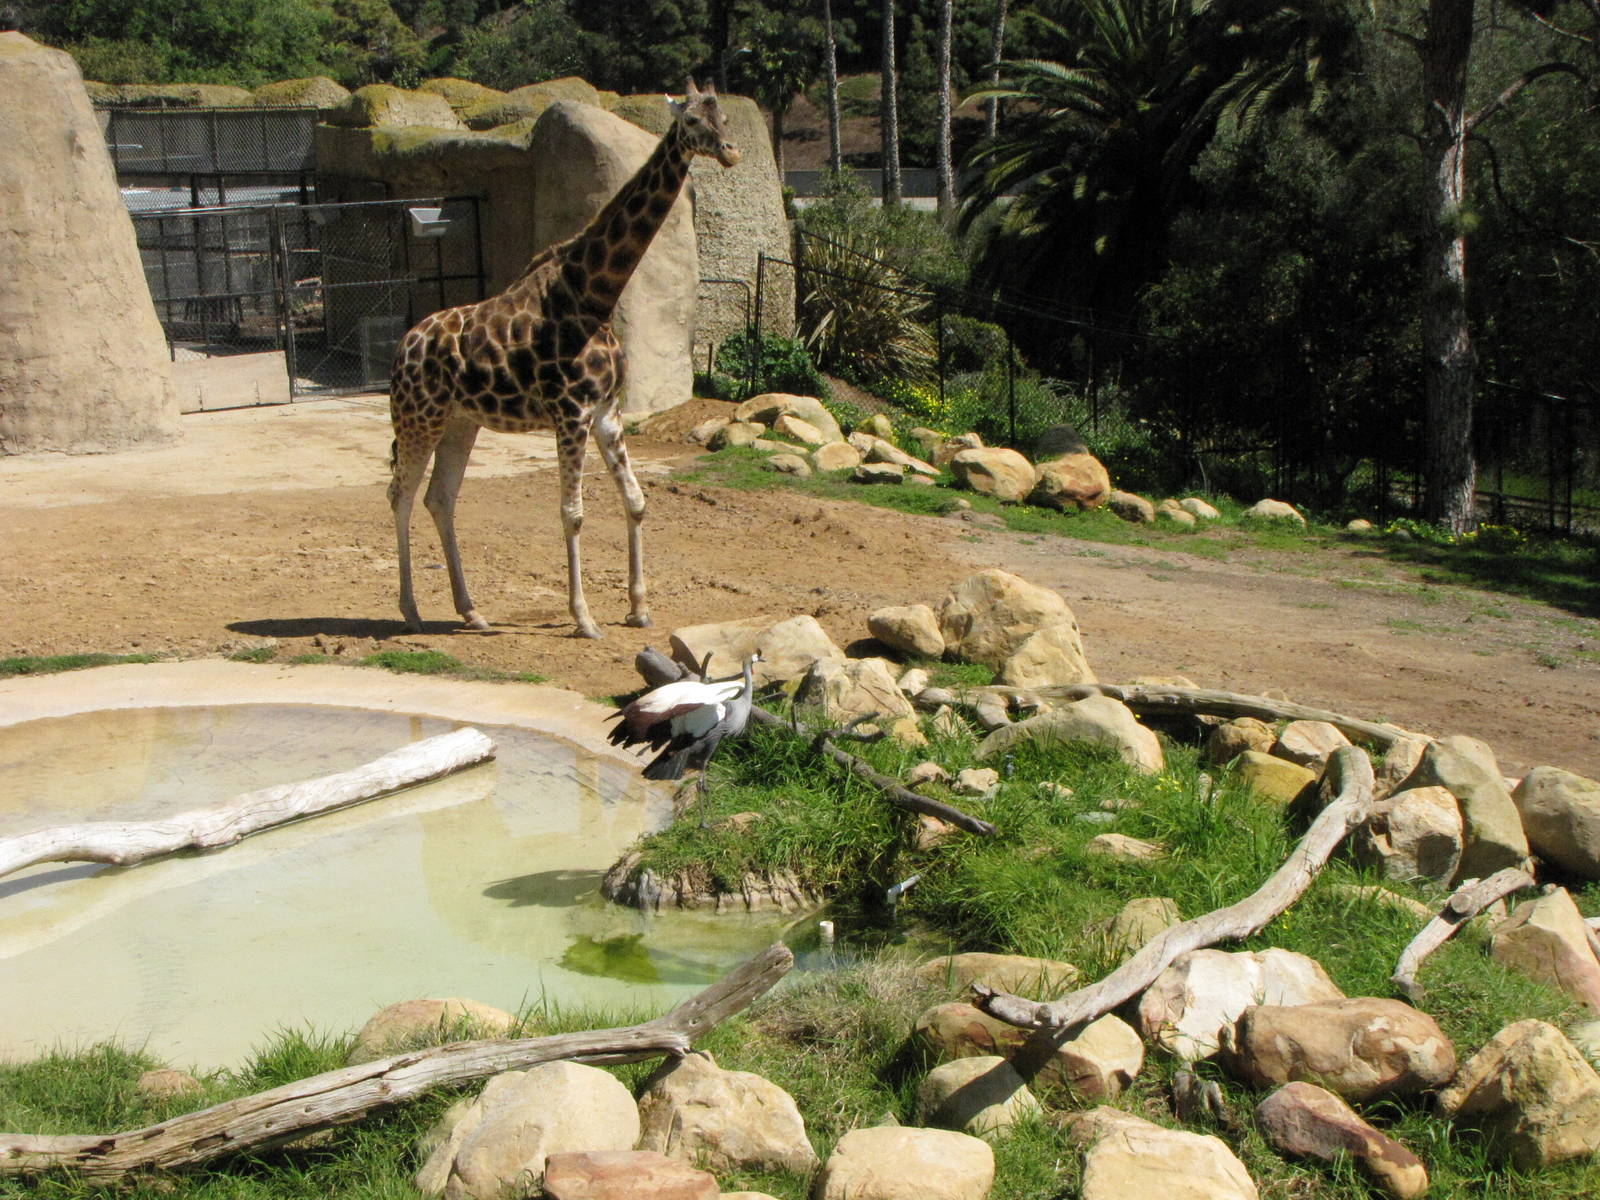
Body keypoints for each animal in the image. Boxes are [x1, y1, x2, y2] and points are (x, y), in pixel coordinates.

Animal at [387, 80, 741, 639]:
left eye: (723, 115)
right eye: (690, 121)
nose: (730, 152)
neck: (591, 294)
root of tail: (402, 348)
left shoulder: (605, 412)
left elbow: (635, 501)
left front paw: (639, 608)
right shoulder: (570, 411)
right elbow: (572, 513)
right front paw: (585, 618)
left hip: (460, 421)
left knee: (439, 497)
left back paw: (472, 611)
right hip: (419, 418)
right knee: (400, 494)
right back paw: (411, 611)